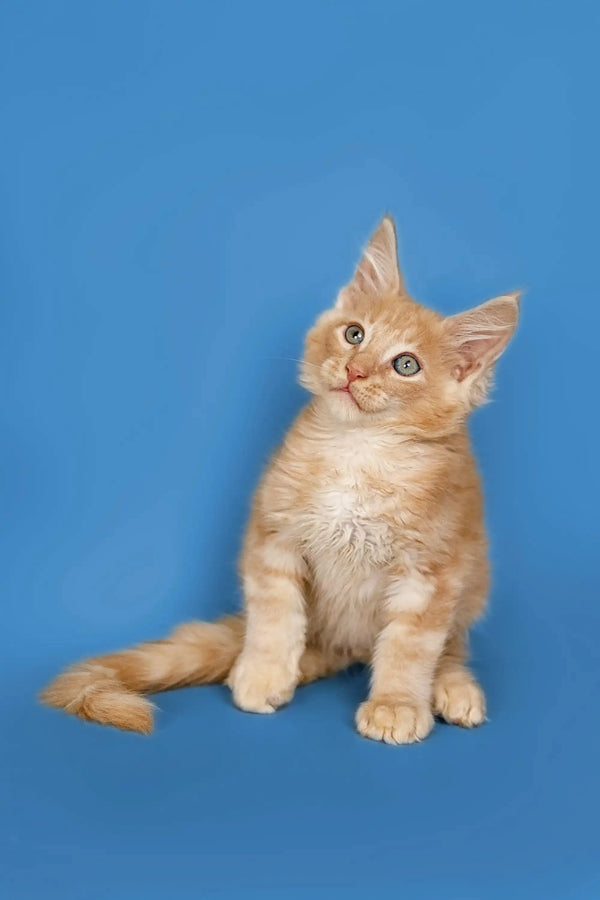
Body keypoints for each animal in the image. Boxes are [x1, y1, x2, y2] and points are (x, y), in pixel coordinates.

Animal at [41, 216, 520, 744]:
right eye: (354, 334)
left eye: (406, 365)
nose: (354, 370)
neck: (357, 451)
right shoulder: (275, 538)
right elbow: (275, 617)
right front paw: (265, 673)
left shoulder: (431, 571)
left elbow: (410, 647)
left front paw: (396, 704)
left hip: (471, 580)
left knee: (450, 647)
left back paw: (453, 688)